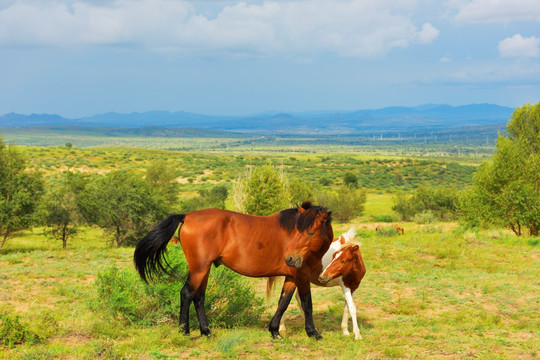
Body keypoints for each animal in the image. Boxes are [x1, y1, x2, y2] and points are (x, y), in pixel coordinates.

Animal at [133, 201, 332, 338]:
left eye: (310, 232)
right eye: (298, 231)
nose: (289, 257)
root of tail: (187, 216)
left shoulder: (291, 276)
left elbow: (283, 302)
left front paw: (274, 331)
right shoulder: (302, 275)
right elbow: (307, 303)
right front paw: (313, 333)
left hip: (204, 270)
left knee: (199, 297)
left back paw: (206, 331)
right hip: (198, 269)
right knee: (187, 294)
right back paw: (185, 332)